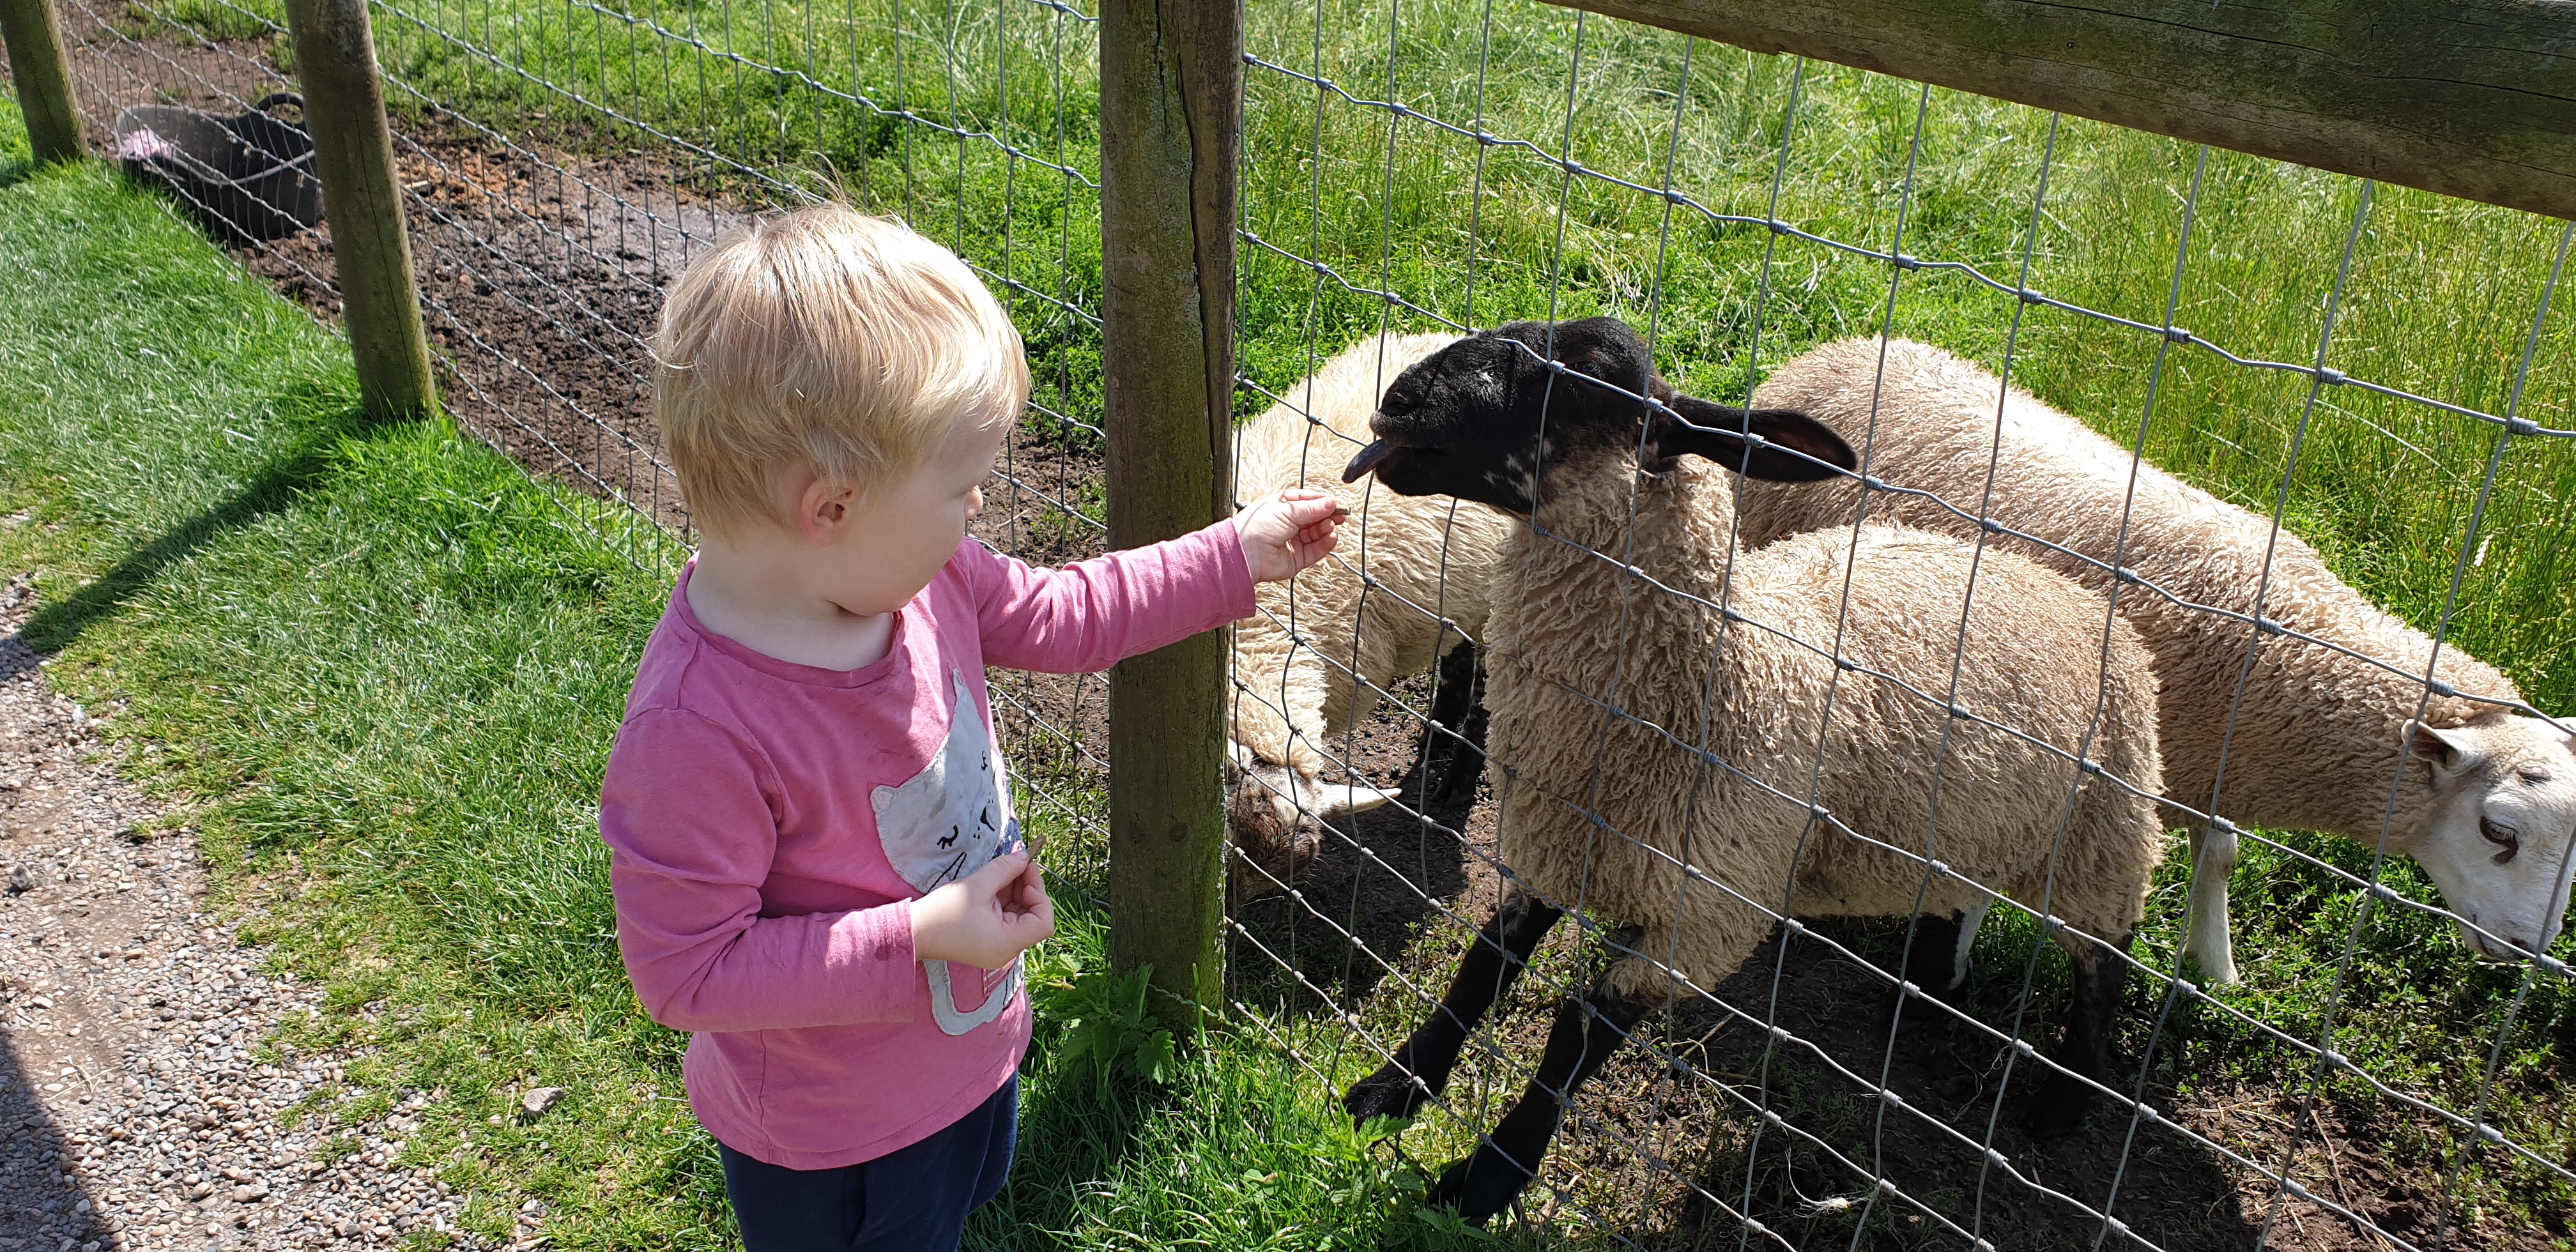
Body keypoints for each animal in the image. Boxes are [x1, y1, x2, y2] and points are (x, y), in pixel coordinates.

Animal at [1225, 331, 1518, 897]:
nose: (1225, 921)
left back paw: (1455, 780)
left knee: (1486, 689)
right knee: (1457, 655)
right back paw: (1436, 735)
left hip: (1502, 597)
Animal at [1337, 318, 2167, 1224]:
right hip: (1967, 827)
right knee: (1960, 897)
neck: (1712, 680)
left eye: (1588, 376)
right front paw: (1393, 1088)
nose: (1399, 400)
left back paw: (2068, 1098)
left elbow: (1576, 1031)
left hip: (2100, 836)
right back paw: (1921, 992)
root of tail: (2083, 598)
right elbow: (1483, 965)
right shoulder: (1555, 844)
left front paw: (1489, 1176)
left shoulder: (1706, 920)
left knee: (2107, 958)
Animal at [1735, 337, 2576, 983]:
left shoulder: (2209, 762)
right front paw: (1951, 968)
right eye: (2497, 829)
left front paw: (2216, 965)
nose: (2526, 952)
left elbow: (2223, 856)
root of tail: (1845, 348)